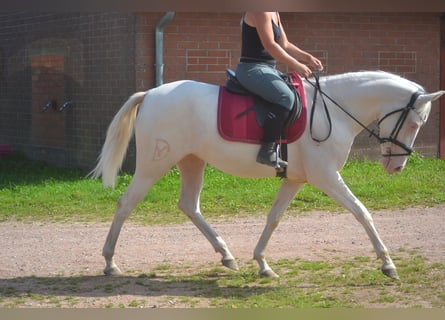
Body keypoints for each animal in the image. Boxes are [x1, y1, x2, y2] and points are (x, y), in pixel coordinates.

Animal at [89, 71, 440, 278]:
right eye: (414, 122)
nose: (396, 166)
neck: (336, 110)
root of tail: (150, 93)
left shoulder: (296, 180)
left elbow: (274, 218)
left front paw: (261, 262)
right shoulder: (326, 176)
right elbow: (362, 212)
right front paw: (387, 263)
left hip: (192, 162)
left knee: (189, 205)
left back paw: (227, 256)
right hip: (154, 164)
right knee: (126, 204)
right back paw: (109, 262)